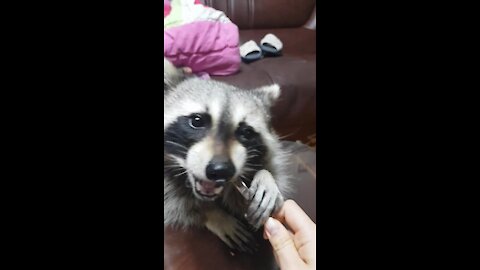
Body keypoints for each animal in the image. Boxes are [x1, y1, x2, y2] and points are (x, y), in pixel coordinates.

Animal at [163, 59, 290, 253]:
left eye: (246, 132)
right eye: (197, 121)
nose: (221, 170)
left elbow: (272, 164)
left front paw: (266, 178)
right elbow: (173, 200)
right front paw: (213, 214)